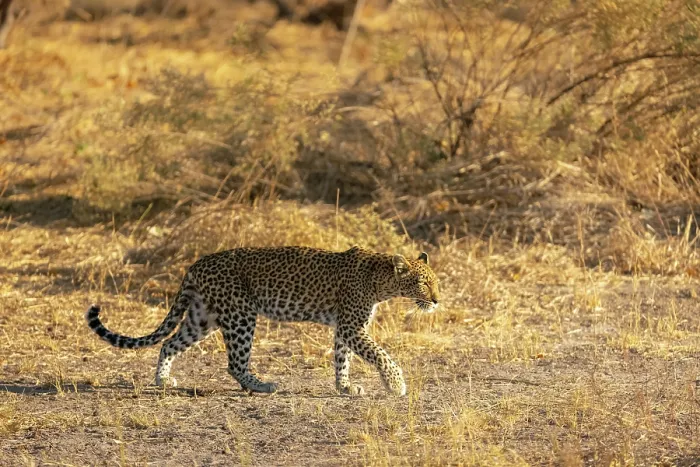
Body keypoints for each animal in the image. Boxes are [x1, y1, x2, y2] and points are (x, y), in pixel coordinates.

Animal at [85, 245, 440, 396]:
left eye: (436, 282)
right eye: (424, 284)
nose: (437, 300)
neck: (382, 282)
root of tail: (196, 264)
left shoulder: (345, 328)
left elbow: (343, 359)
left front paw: (344, 386)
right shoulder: (353, 326)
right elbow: (381, 355)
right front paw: (396, 385)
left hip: (203, 317)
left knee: (170, 343)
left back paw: (162, 380)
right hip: (241, 313)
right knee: (234, 363)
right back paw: (261, 385)